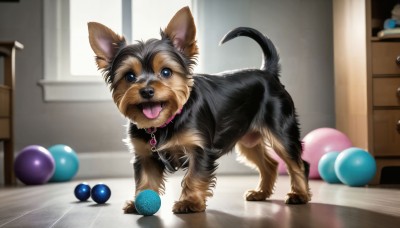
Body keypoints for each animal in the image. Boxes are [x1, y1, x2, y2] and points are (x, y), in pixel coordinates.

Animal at [88, 6, 312, 214]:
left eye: (166, 72)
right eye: (130, 77)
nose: (147, 91)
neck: (167, 121)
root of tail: (268, 73)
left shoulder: (200, 149)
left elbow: (194, 176)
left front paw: (189, 202)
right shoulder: (145, 155)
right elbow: (145, 179)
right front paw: (140, 202)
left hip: (281, 131)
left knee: (298, 162)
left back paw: (299, 195)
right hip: (247, 138)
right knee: (270, 164)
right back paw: (261, 192)